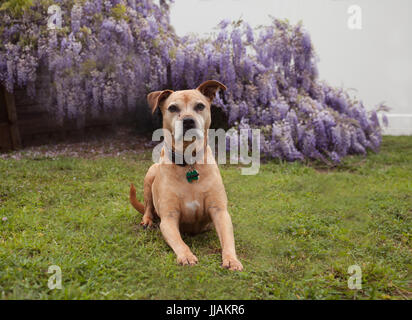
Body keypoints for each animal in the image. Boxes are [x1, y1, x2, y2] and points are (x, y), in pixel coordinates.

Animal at [130, 79, 243, 270]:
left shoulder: (220, 211)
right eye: (173, 108)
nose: (188, 121)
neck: (189, 162)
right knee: (147, 206)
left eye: (200, 106)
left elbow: (228, 240)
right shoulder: (168, 218)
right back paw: (147, 220)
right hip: (150, 173)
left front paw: (231, 259)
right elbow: (179, 242)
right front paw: (186, 256)